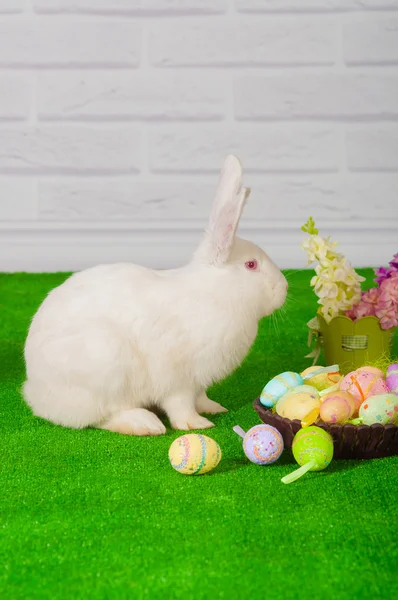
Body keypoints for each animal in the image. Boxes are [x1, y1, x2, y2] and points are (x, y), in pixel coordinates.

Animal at [21, 155, 288, 436]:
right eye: (251, 265)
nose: (283, 288)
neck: (214, 293)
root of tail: (35, 391)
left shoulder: (197, 382)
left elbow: (200, 397)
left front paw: (213, 408)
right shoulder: (178, 381)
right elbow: (180, 405)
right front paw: (196, 424)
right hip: (105, 364)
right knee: (102, 416)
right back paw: (144, 423)